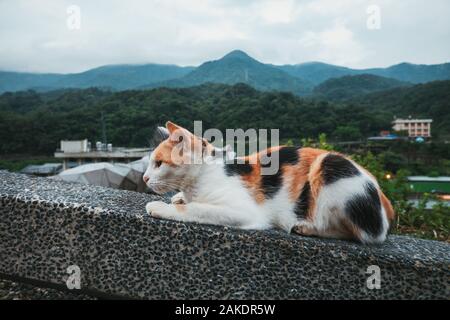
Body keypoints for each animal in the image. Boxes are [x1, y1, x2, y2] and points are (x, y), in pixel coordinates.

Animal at [143, 121, 394, 244]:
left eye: (159, 163)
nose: (144, 177)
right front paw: (178, 197)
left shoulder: (244, 211)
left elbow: (196, 208)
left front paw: (161, 206)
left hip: (332, 166)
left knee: (369, 236)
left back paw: (306, 227)